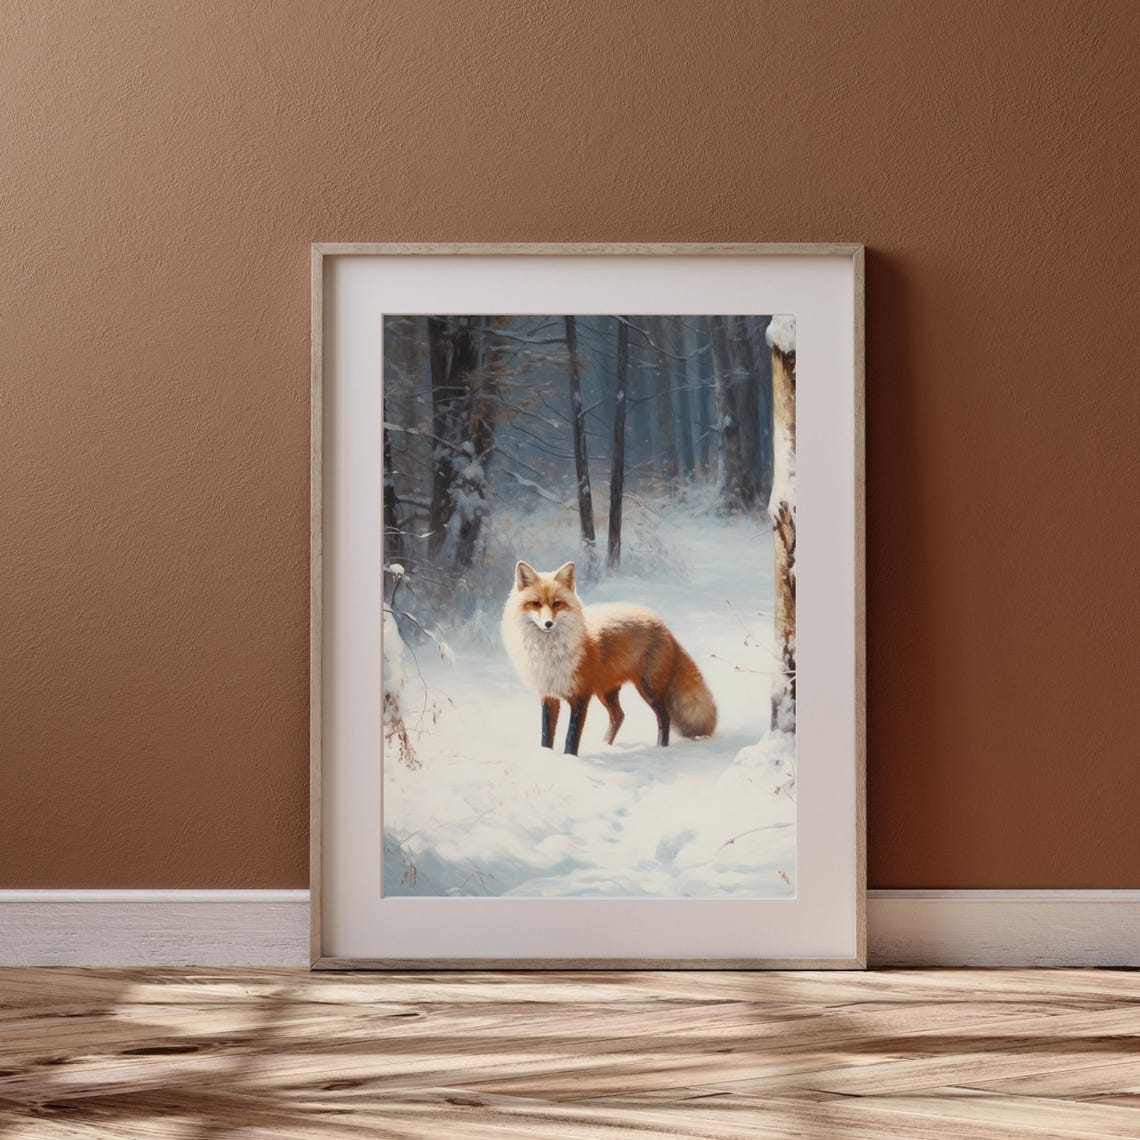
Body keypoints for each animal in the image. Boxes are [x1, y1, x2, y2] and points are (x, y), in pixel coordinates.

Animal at [500, 560, 717, 756]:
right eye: (535, 604)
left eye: (557, 604)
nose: (548, 624)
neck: (550, 653)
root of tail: (662, 625)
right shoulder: (549, 694)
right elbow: (546, 735)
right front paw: (547, 756)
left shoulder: (580, 695)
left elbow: (572, 737)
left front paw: (570, 759)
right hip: (606, 691)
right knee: (619, 716)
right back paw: (605, 745)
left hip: (648, 689)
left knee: (664, 717)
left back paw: (660, 749)